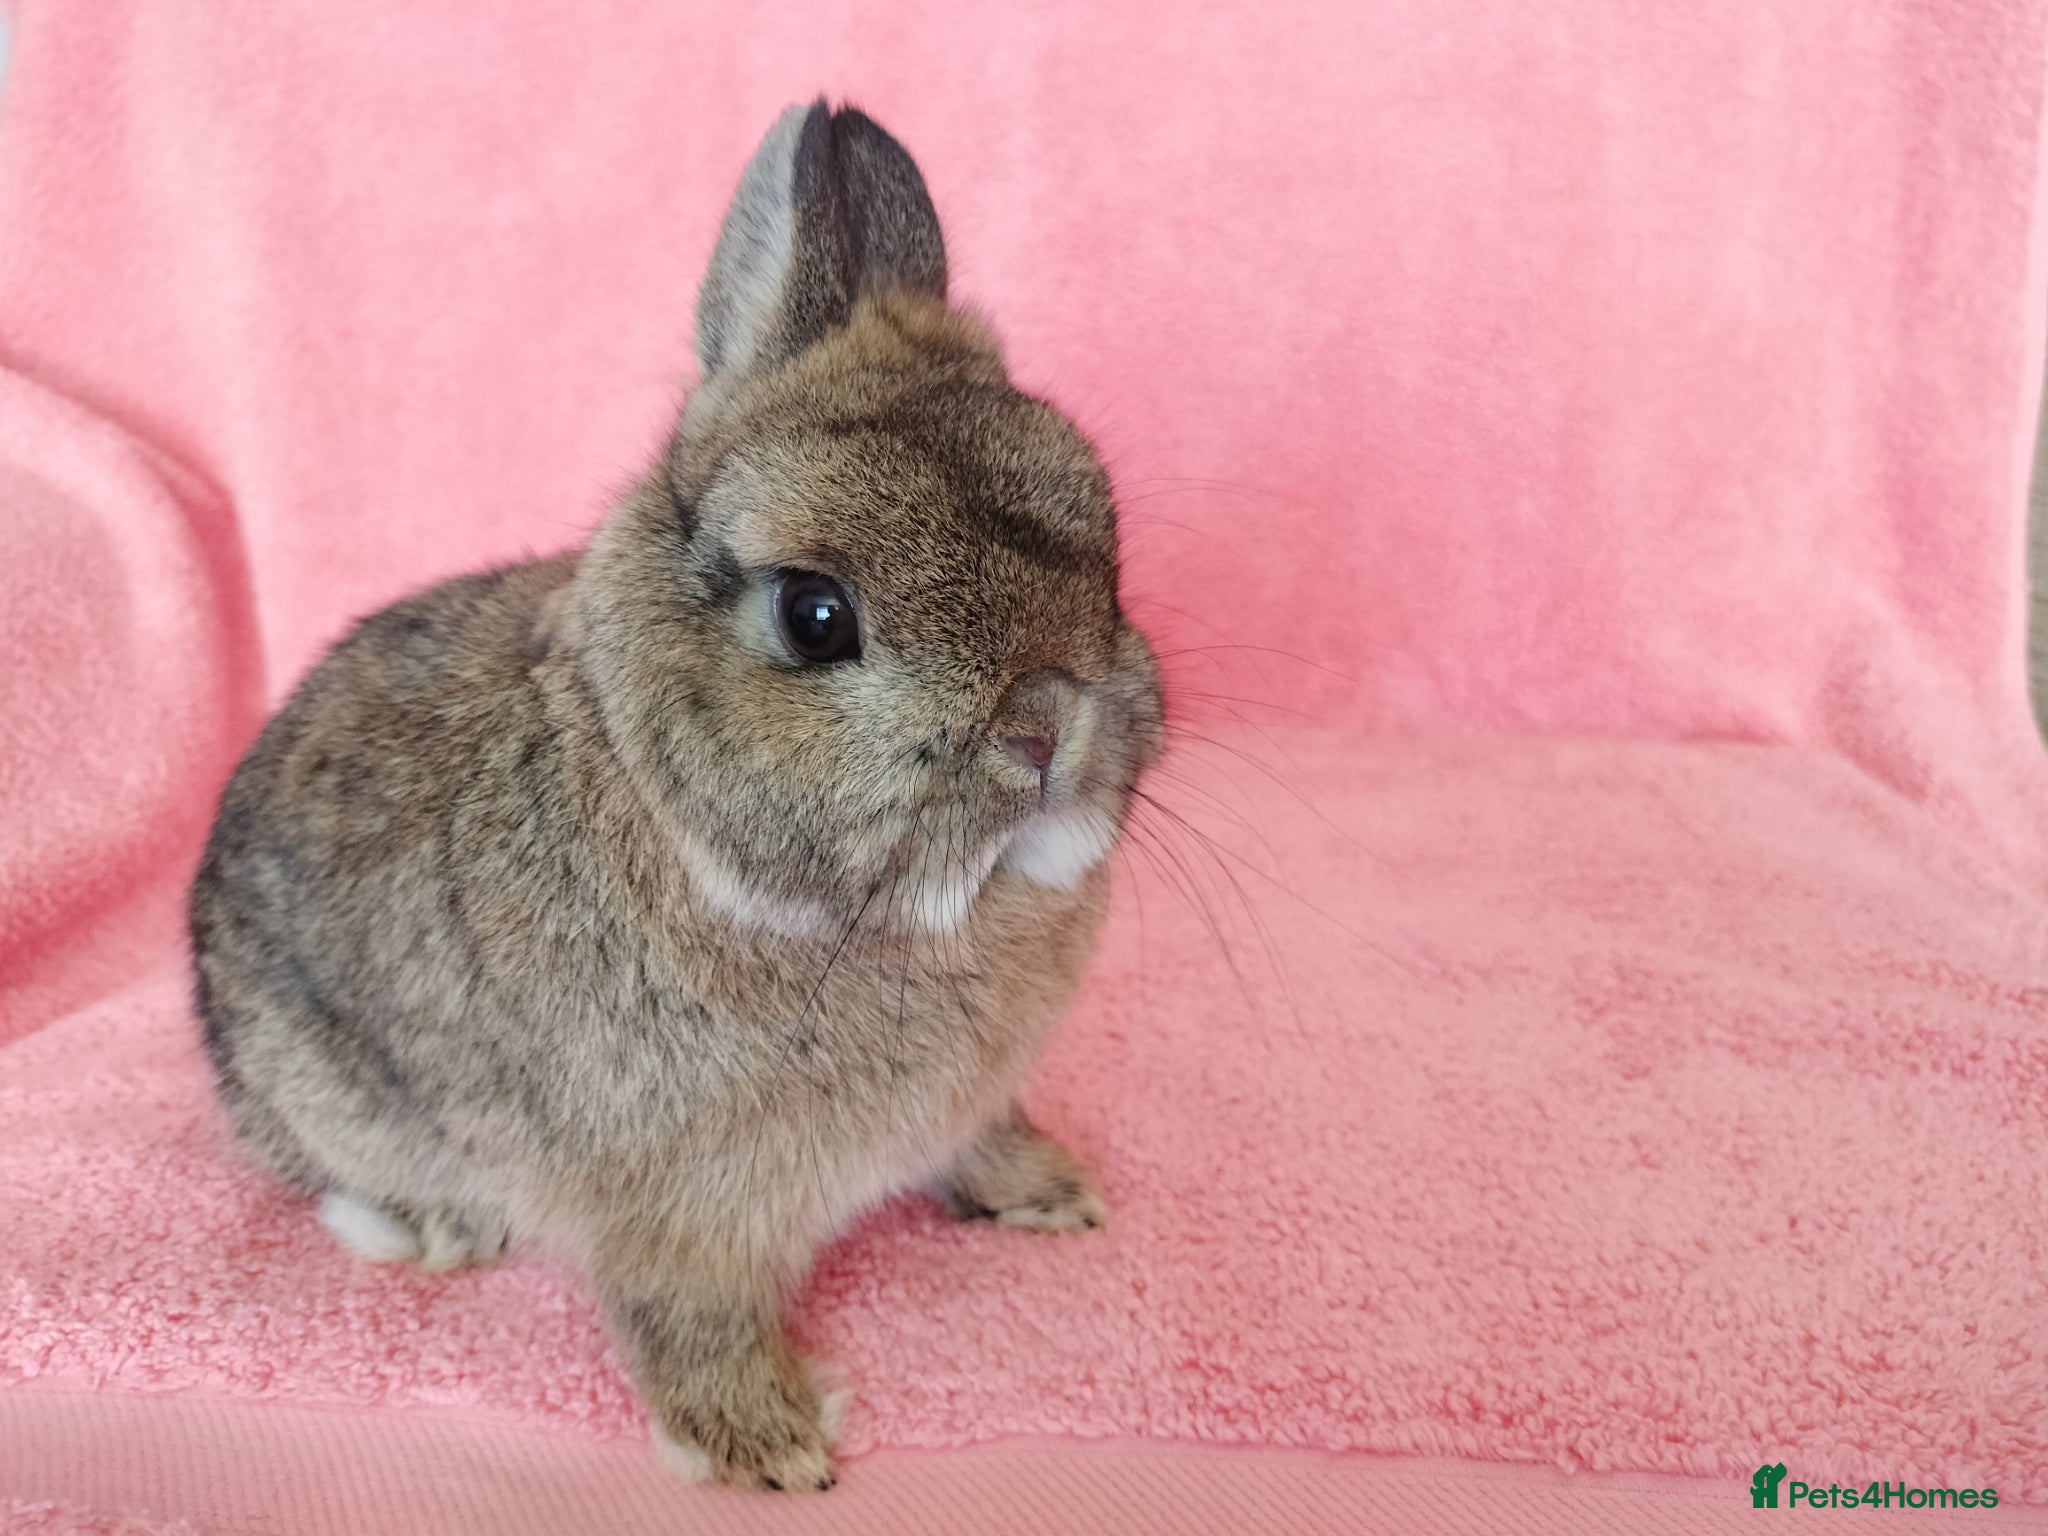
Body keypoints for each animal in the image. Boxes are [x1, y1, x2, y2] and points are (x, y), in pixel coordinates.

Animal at [187, 99, 1164, 1493]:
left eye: (1106, 543)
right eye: (815, 616)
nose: (1045, 729)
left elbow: (982, 1138)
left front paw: (1052, 1193)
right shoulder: (670, 1214)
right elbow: (686, 1318)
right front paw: (770, 1449)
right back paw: (432, 1230)